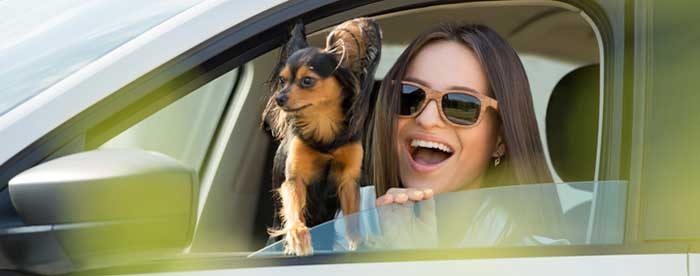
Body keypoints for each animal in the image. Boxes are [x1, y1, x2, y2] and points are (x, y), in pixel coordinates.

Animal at [262, 17, 382, 256]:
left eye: (307, 81)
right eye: (282, 81)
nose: (279, 98)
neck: (323, 124)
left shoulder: (348, 181)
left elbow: (353, 218)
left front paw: (358, 242)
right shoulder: (294, 179)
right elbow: (294, 208)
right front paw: (298, 236)